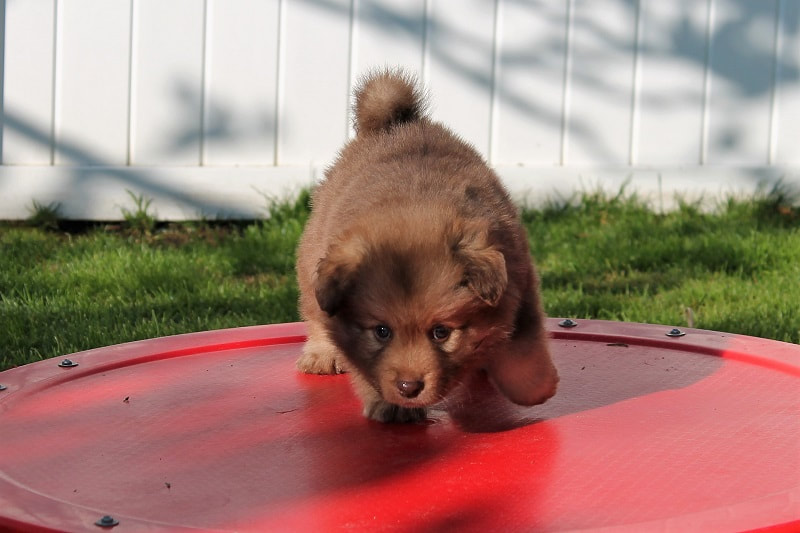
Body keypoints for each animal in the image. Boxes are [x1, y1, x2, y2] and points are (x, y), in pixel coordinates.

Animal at [296, 68, 560, 422]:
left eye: (441, 332)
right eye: (381, 331)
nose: (409, 387)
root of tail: (393, 124)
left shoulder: (520, 282)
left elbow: (524, 343)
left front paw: (535, 385)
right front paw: (393, 407)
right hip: (313, 261)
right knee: (315, 312)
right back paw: (321, 355)